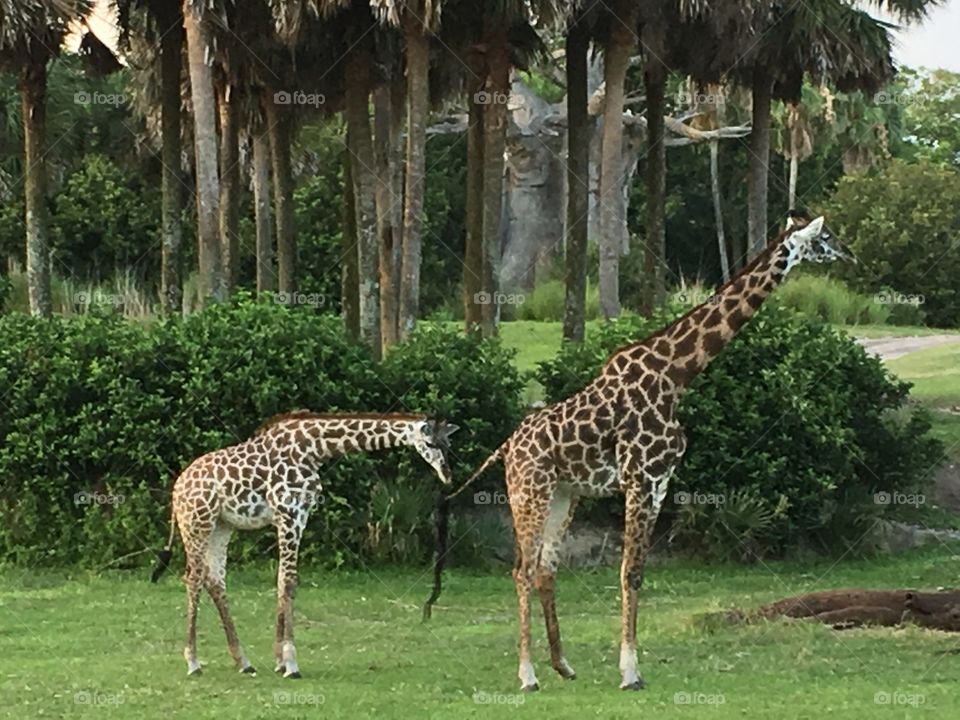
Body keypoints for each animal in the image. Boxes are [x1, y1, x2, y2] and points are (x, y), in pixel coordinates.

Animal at [151, 411, 458, 678]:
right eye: (430, 443)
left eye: (448, 444)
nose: (447, 475)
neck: (314, 450)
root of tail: (177, 490)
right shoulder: (290, 514)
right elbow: (288, 581)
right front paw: (291, 663)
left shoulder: (297, 517)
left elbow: (282, 581)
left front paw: (279, 660)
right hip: (197, 524)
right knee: (193, 578)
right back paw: (193, 661)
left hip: (221, 527)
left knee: (215, 581)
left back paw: (243, 661)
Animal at [433, 215, 851, 691]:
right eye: (825, 236)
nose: (850, 253)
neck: (677, 375)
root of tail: (506, 446)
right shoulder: (640, 477)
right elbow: (629, 571)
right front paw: (630, 671)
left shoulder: (661, 481)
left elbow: (638, 571)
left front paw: (629, 666)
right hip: (529, 491)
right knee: (522, 569)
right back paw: (528, 674)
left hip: (563, 496)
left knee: (544, 568)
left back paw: (563, 665)